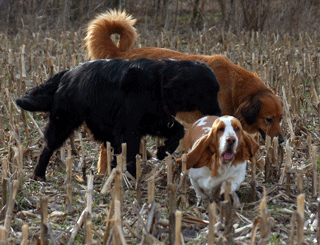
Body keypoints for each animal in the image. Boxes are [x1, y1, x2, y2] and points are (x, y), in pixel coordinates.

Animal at [16, 57, 221, 180]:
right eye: (208, 92)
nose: (219, 115)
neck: (158, 84)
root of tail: (68, 73)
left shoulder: (154, 121)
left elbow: (178, 130)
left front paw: (163, 151)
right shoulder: (130, 129)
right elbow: (130, 152)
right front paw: (131, 177)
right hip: (63, 122)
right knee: (48, 146)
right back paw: (39, 174)